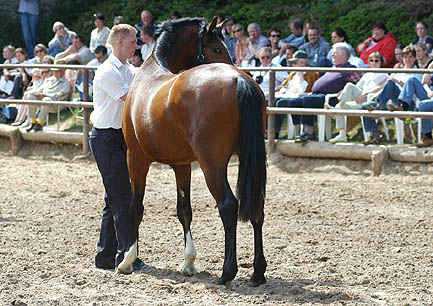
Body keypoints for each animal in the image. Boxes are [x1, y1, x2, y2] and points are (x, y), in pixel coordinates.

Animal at [118, 17, 266, 286]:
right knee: (256, 206)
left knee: (228, 205)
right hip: (250, 161)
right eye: (216, 48)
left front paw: (127, 260)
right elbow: (184, 210)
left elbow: (136, 206)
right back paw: (258, 272)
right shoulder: (182, 164)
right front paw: (188, 263)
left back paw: (227, 272)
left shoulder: (135, 158)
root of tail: (239, 80)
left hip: (212, 166)